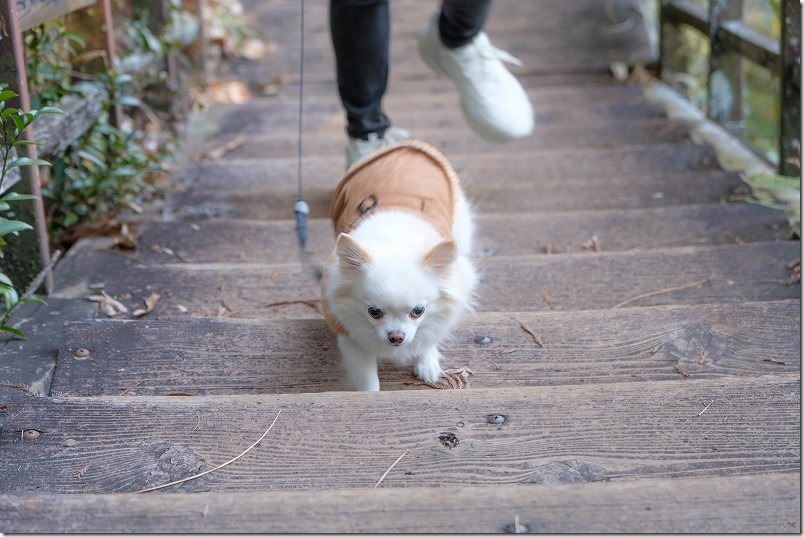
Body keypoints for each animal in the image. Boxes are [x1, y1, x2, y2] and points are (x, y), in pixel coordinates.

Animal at [322, 139, 478, 390]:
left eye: (418, 311)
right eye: (374, 312)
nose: (396, 337)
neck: (395, 239)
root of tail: (405, 145)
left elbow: (430, 333)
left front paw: (427, 362)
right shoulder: (347, 330)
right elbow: (366, 375)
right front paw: (369, 392)